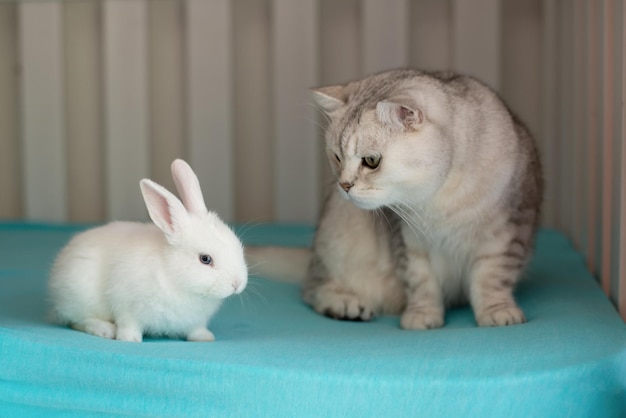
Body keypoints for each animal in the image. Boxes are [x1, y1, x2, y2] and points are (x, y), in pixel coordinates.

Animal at [47, 158, 246, 342]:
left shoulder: (196, 321)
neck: (175, 278)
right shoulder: (126, 304)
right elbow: (128, 324)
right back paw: (105, 330)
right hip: (80, 299)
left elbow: (196, 329)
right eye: (205, 259)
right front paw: (129, 339)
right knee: (79, 321)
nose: (237, 284)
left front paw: (205, 337)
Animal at [249, 69, 540, 330]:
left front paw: (497, 311)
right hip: (336, 236)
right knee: (312, 288)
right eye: (337, 158)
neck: (438, 200)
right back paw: (345, 305)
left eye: (371, 161)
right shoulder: (407, 240)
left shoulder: (507, 232)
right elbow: (421, 282)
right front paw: (421, 316)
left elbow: (492, 278)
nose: (344, 185)